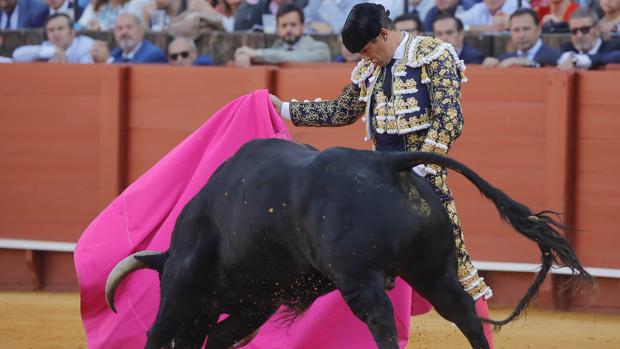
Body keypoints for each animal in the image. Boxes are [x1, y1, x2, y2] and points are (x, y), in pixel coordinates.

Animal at [105, 139, 592, 348]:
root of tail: (388, 164)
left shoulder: (183, 285)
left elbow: (161, 330)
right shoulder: (258, 301)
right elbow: (220, 336)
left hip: (359, 278)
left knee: (382, 323)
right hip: (433, 270)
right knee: (466, 316)